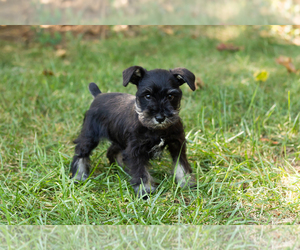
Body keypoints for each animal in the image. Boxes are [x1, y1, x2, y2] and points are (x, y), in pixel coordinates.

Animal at [70, 65, 197, 197]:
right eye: (147, 96)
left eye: (170, 96)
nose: (160, 118)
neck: (156, 130)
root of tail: (98, 96)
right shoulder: (136, 149)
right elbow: (140, 171)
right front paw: (144, 190)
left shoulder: (177, 144)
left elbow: (181, 165)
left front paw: (186, 183)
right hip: (90, 136)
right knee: (80, 153)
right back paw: (79, 176)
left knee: (112, 151)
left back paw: (120, 168)